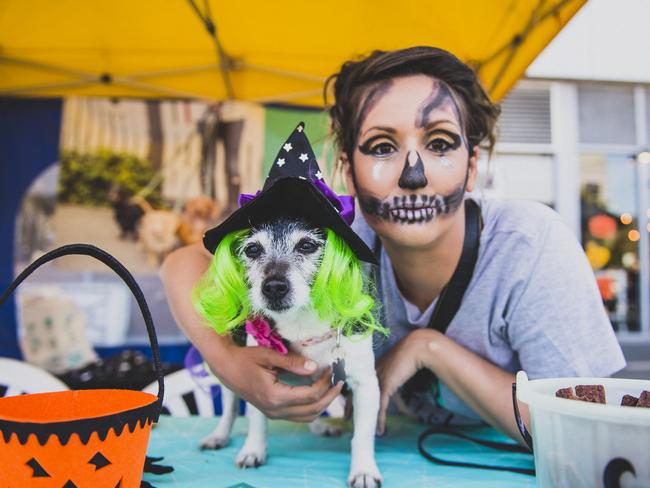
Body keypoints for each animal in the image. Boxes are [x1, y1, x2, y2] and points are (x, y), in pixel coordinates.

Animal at [197, 218, 380, 488]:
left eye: (307, 245)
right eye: (252, 249)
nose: (273, 287)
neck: (301, 324)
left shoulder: (366, 385)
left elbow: (363, 435)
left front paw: (364, 470)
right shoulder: (258, 379)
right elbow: (257, 420)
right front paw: (253, 450)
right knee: (230, 408)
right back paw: (218, 436)